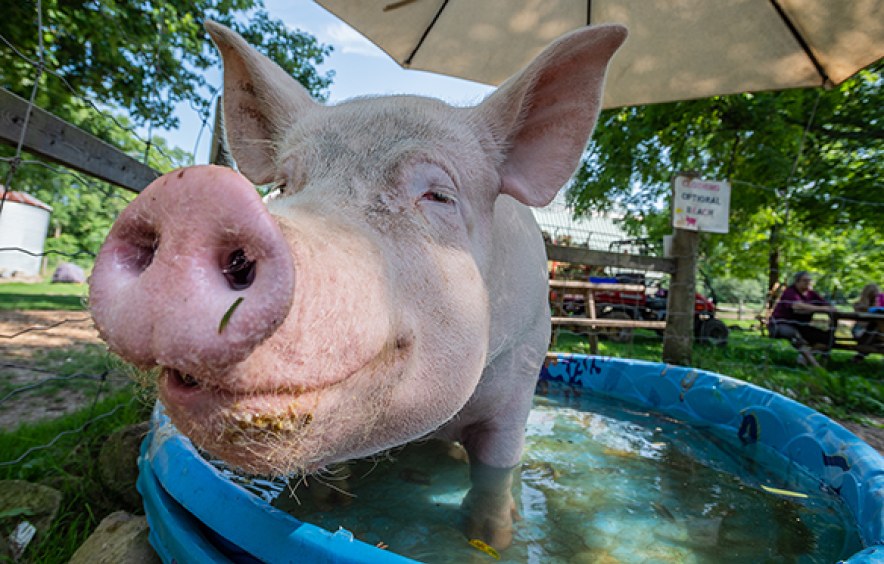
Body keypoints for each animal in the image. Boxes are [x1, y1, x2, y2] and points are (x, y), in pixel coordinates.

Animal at [88, 20, 626, 551]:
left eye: (438, 195)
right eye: (283, 185)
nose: (195, 195)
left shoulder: (524, 372)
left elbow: (496, 474)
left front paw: (494, 537)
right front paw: (328, 509)